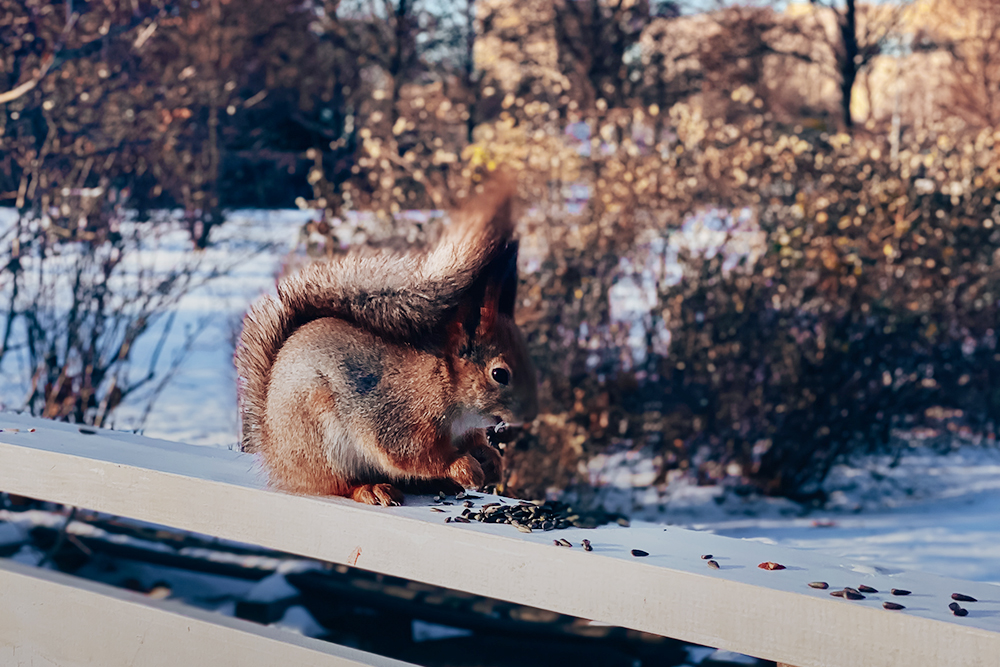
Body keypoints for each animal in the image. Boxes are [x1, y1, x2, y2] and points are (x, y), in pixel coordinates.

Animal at [235, 177, 540, 506]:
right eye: (499, 374)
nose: (531, 415)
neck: (443, 386)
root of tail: (274, 449)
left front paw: (492, 461)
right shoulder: (397, 420)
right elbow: (414, 456)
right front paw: (463, 467)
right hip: (320, 442)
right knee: (340, 484)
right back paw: (371, 488)